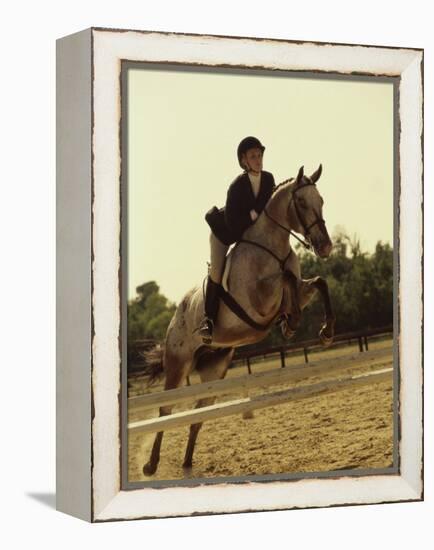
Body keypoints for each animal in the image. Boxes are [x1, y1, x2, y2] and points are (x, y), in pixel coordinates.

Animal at [142, 165, 336, 478]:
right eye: (302, 202)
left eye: (321, 201)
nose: (325, 246)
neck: (272, 248)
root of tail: (175, 317)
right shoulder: (256, 302)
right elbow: (285, 279)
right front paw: (291, 322)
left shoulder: (299, 290)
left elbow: (318, 282)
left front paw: (325, 330)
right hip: (178, 363)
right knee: (165, 411)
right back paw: (151, 465)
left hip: (215, 368)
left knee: (199, 412)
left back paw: (187, 463)